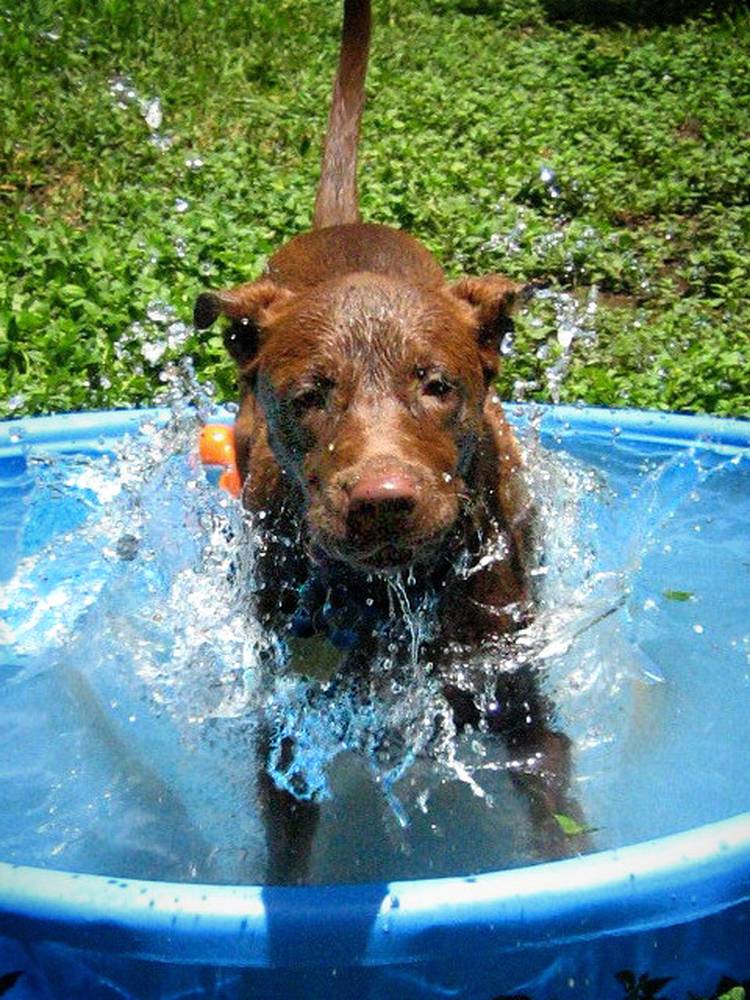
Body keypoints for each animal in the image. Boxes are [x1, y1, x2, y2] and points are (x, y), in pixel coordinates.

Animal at [195, 0, 586, 883]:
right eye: (309, 397)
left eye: (436, 386)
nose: (381, 501)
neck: (391, 595)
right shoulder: (289, 718)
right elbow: (286, 838)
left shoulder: (521, 704)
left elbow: (559, 816)